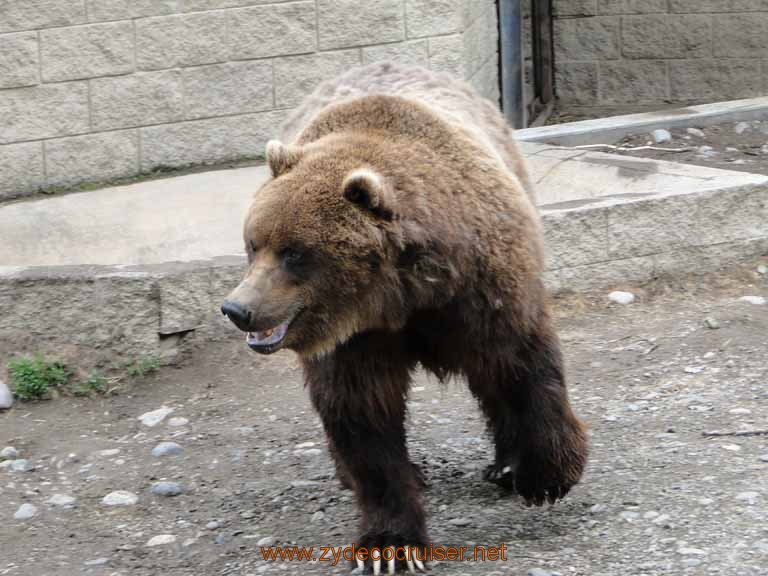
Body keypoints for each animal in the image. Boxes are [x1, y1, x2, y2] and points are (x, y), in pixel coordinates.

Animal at [222, 62, 588, 572]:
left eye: (294, 253)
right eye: (253, 244)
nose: (238, 309)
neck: (401, 295)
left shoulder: (483, 290)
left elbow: (520, 364)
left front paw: (546, 475)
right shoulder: (356, 341)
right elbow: (363, 418)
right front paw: (389, 545)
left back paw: (504, 464)